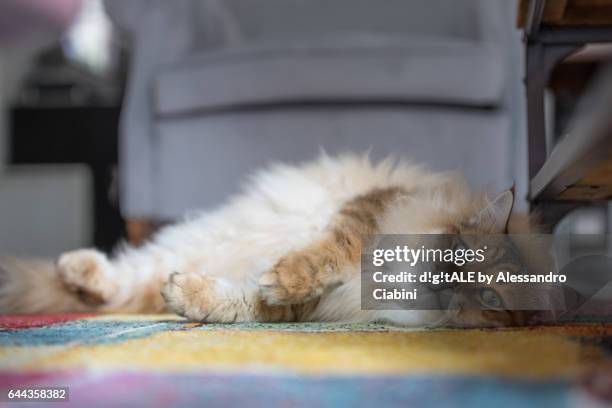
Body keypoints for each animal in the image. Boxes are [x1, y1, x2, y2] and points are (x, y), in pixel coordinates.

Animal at [0, 155, 544, 326]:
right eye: (458, 257)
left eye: (489, 297)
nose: (447, 288)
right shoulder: (367, 214)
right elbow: (326, 252)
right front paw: (287, 275)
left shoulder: (316, 309)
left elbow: (246, 302)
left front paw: (191, 297)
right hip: (214, 228)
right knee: (131, 267)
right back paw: (77, 267)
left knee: (137, 285)